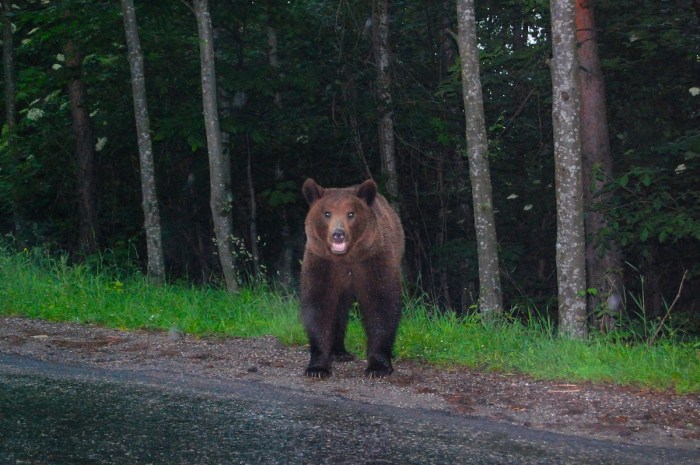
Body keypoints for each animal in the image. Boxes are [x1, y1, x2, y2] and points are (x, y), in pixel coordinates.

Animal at [300, 178, 404, 378]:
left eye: (351, 213)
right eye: (327, 213)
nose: (338, 234)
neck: (346, 258)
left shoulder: (372, 261)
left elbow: (381, 304)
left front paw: (378, 366)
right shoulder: (323, 264)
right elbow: (319, 306)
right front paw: (317, 367)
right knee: (339, 309)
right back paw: (339, 352)